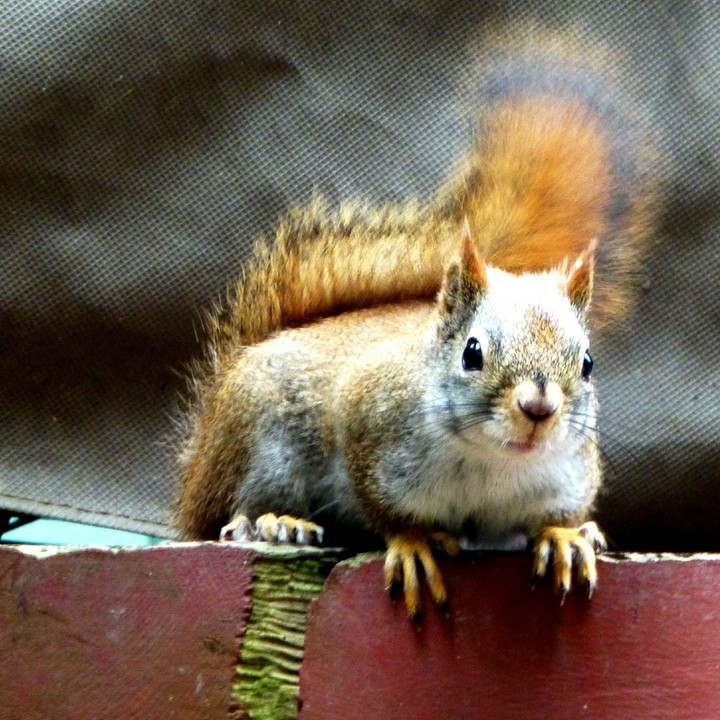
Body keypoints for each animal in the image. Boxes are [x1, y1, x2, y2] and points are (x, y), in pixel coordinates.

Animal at [174, 43, 657, 618]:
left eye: (587, 363)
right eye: (472, 353)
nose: (539, 409)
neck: (492, 460)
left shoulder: (568, 474)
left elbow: (555, 515)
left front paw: (565, 535)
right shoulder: (369, 426)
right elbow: (385, 509)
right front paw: (413, 543)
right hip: (266, 442)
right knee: (237, 508)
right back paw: (275, 523)